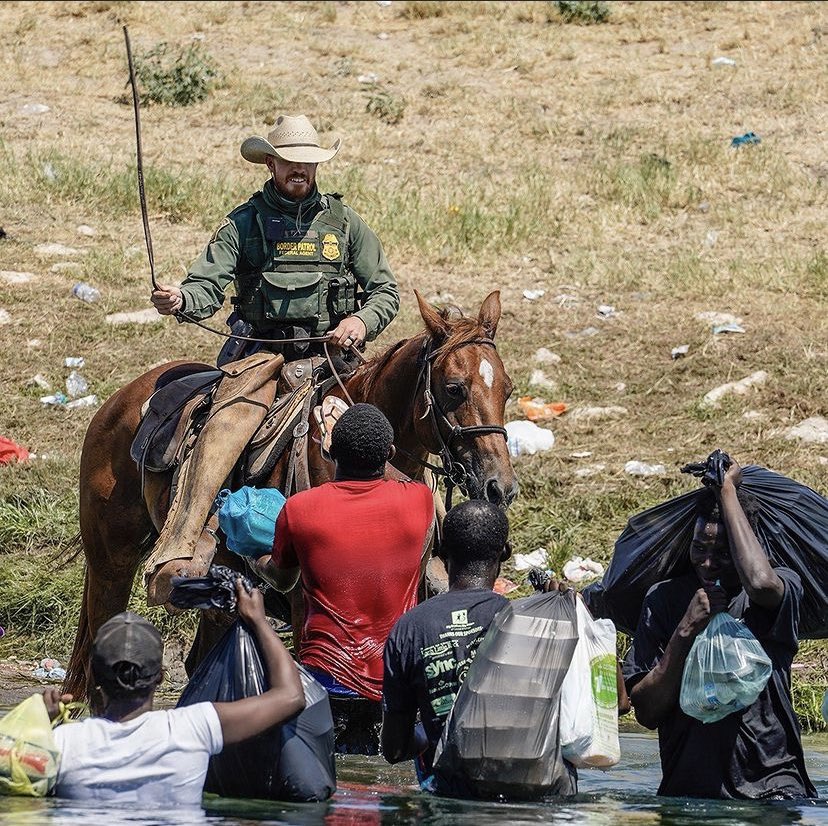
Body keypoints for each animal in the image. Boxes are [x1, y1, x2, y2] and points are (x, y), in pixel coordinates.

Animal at [66, 290, 516, 696]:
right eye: (454, 388)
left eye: (507, 389)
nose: (500, 485)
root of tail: (120, 399)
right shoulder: (307, 603)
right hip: (111, 564)